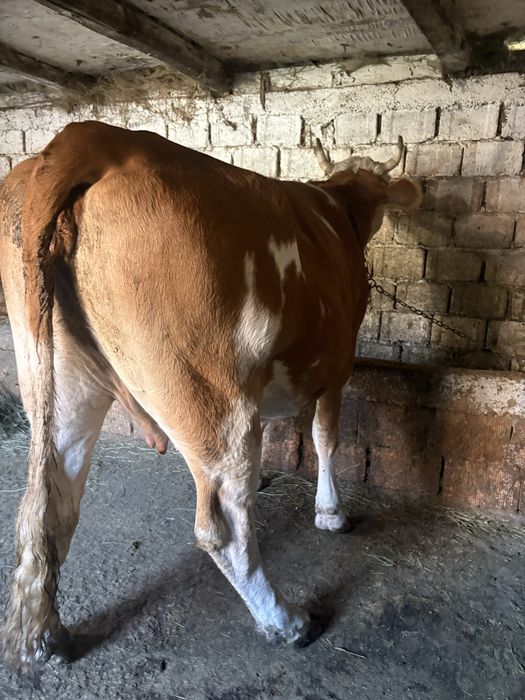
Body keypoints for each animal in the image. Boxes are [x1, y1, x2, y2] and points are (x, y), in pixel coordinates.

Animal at [0, 121, 421, 666]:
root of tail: (95, 137)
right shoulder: (337, 364)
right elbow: (326, 437)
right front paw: (331, 513)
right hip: (211, 392)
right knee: (222, 521)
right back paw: (286, 620)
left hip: (60, 379)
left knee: (49, 502)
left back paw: (42, 637)